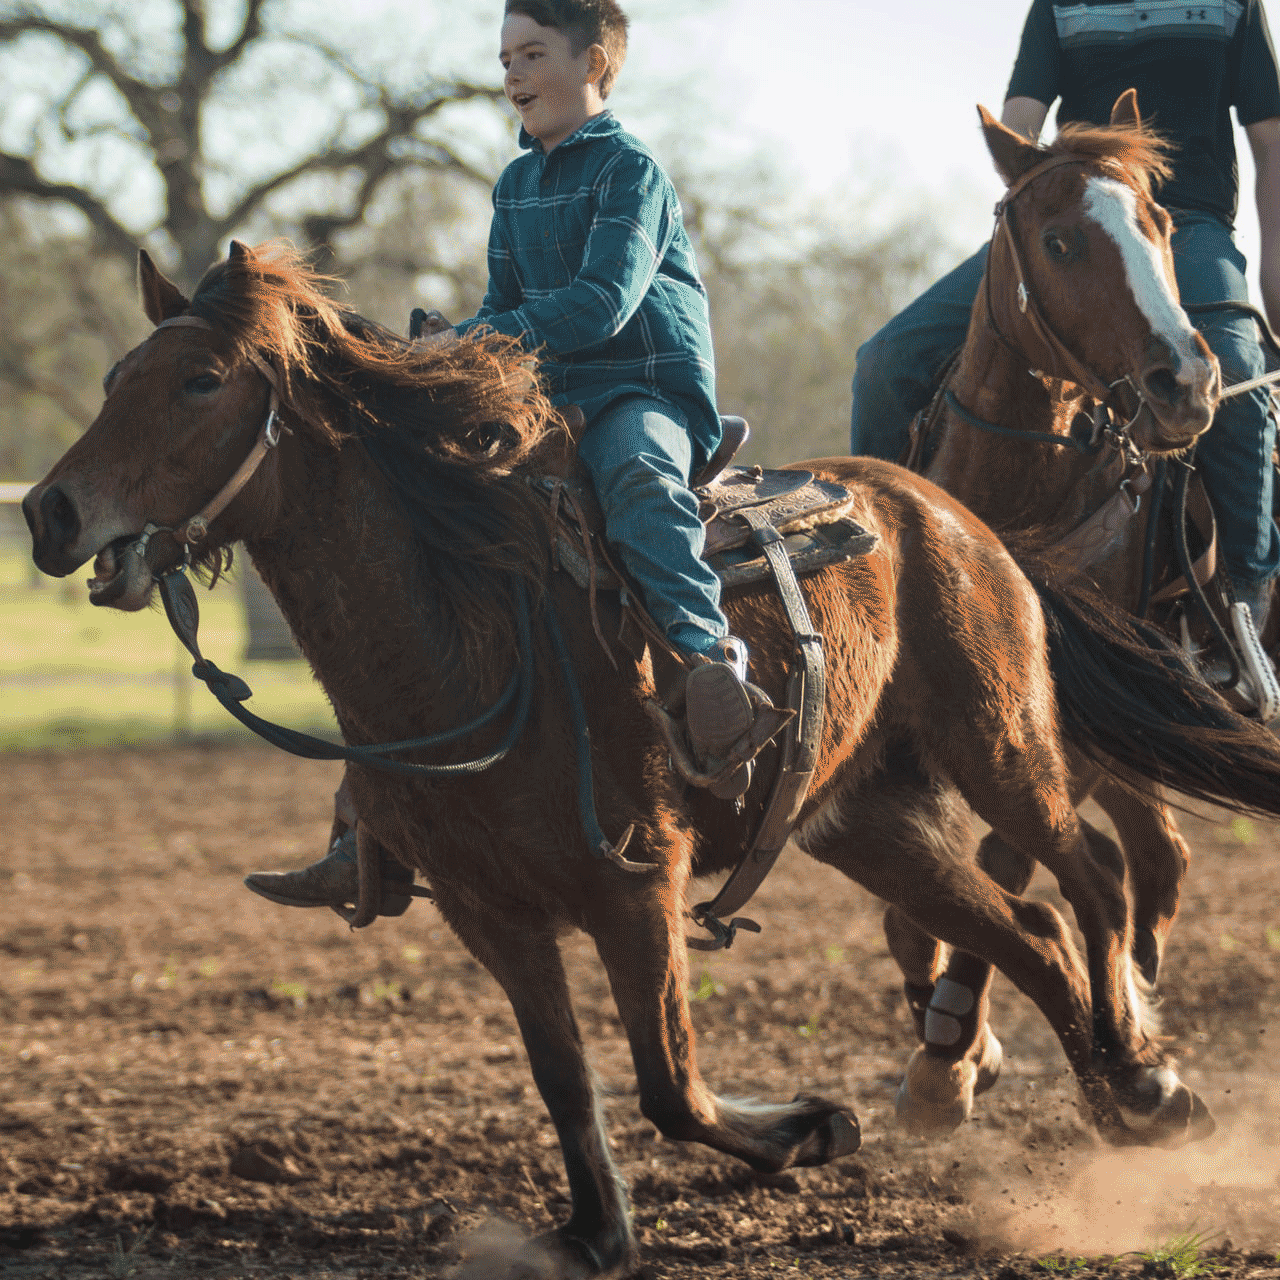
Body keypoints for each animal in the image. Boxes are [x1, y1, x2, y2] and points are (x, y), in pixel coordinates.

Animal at [22, 238, 1280, 1269]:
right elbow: (568, 1080)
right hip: (866, 822)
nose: (48, 513)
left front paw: (811, 1126)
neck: (471, 637)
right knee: (1022, 929)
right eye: (114, 378)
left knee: (1094, 878)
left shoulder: (635, 884)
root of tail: (958, 518)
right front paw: (594, 1231)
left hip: (1001, 745)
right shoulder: (490, 910)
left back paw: (1144, 1076)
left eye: (197, 380)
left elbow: (669, 1082)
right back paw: (1100, 1099)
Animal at [890, 94, 1269, 1136]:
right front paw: (959, 1044)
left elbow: (1006, 868)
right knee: (1156, 859)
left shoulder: (1083, 722)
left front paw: (953, 1042)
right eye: (1058, 240)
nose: (1187, 384)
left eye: (1162, 222)